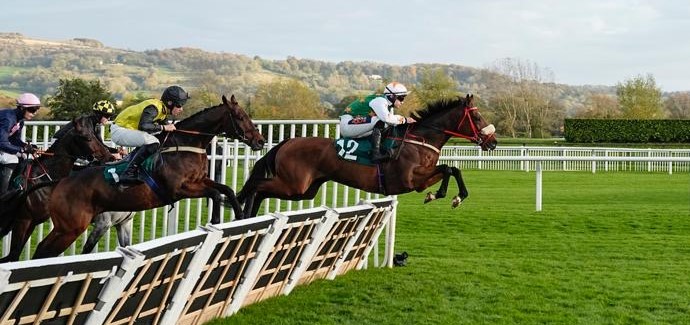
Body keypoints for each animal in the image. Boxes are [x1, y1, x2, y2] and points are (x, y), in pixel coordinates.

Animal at [0, 116, 115, 260]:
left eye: (94, 134)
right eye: (86, 137)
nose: (108, 156)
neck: (42, 179)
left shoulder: (33, 222)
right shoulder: (23, 220)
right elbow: (13, 255)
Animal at [28, 93, 264, 258]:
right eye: (240, 117)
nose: (260, 141)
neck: (185, 145)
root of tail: (62, 182)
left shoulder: (199, 181)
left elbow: (225, 189)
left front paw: (240, 214)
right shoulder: (179, 189)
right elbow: (214, 193)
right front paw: (216, 220)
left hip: (66, 227)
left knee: (42, 249)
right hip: (71, 227)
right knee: (44, 251)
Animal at [238, 93, 494, 218]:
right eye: (477, 117)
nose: (492, 141)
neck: (420, 140)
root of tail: (285, 143)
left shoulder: (420, 181)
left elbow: (452, 168)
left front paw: (448, 196)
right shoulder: (410, 178)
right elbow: (449, 168)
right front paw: (447, 195)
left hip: (304, 190)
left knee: (261, 189)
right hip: (294, 185)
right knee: (257, 187)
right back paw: (244, 214)